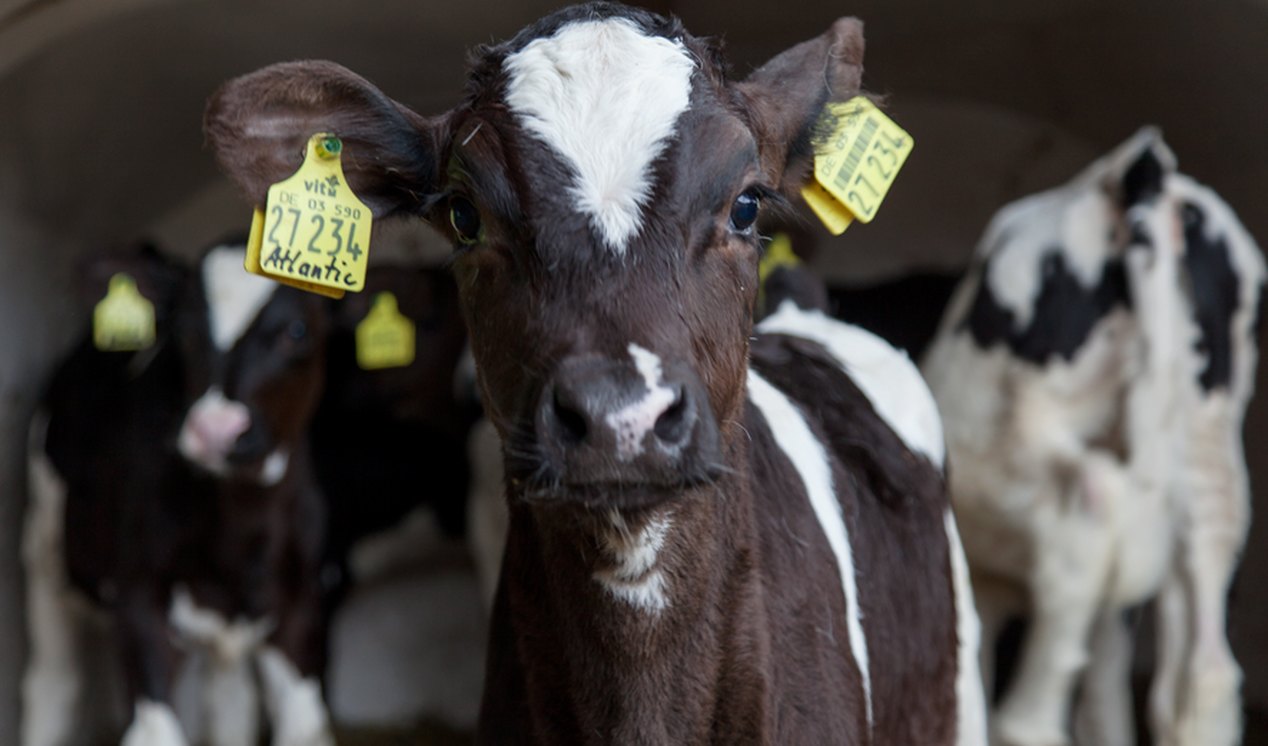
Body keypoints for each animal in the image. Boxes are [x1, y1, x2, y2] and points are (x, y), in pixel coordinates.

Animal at [27, 243, 339, 746]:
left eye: (296, 330)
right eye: (184, 331)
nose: (214, 430)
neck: (237, 529)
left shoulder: (304, 606)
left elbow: (306, 728)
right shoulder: (138, 600)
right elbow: (157, 729)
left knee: (230, 697)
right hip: (45, 550)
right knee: (54, 684)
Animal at [923, 129, 1268, 746]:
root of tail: (1138, 170)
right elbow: (1105, 699)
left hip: (1009, 434)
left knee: (1085, 520)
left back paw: (1028, 720)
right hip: (1209, 444)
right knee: (1203, 673)